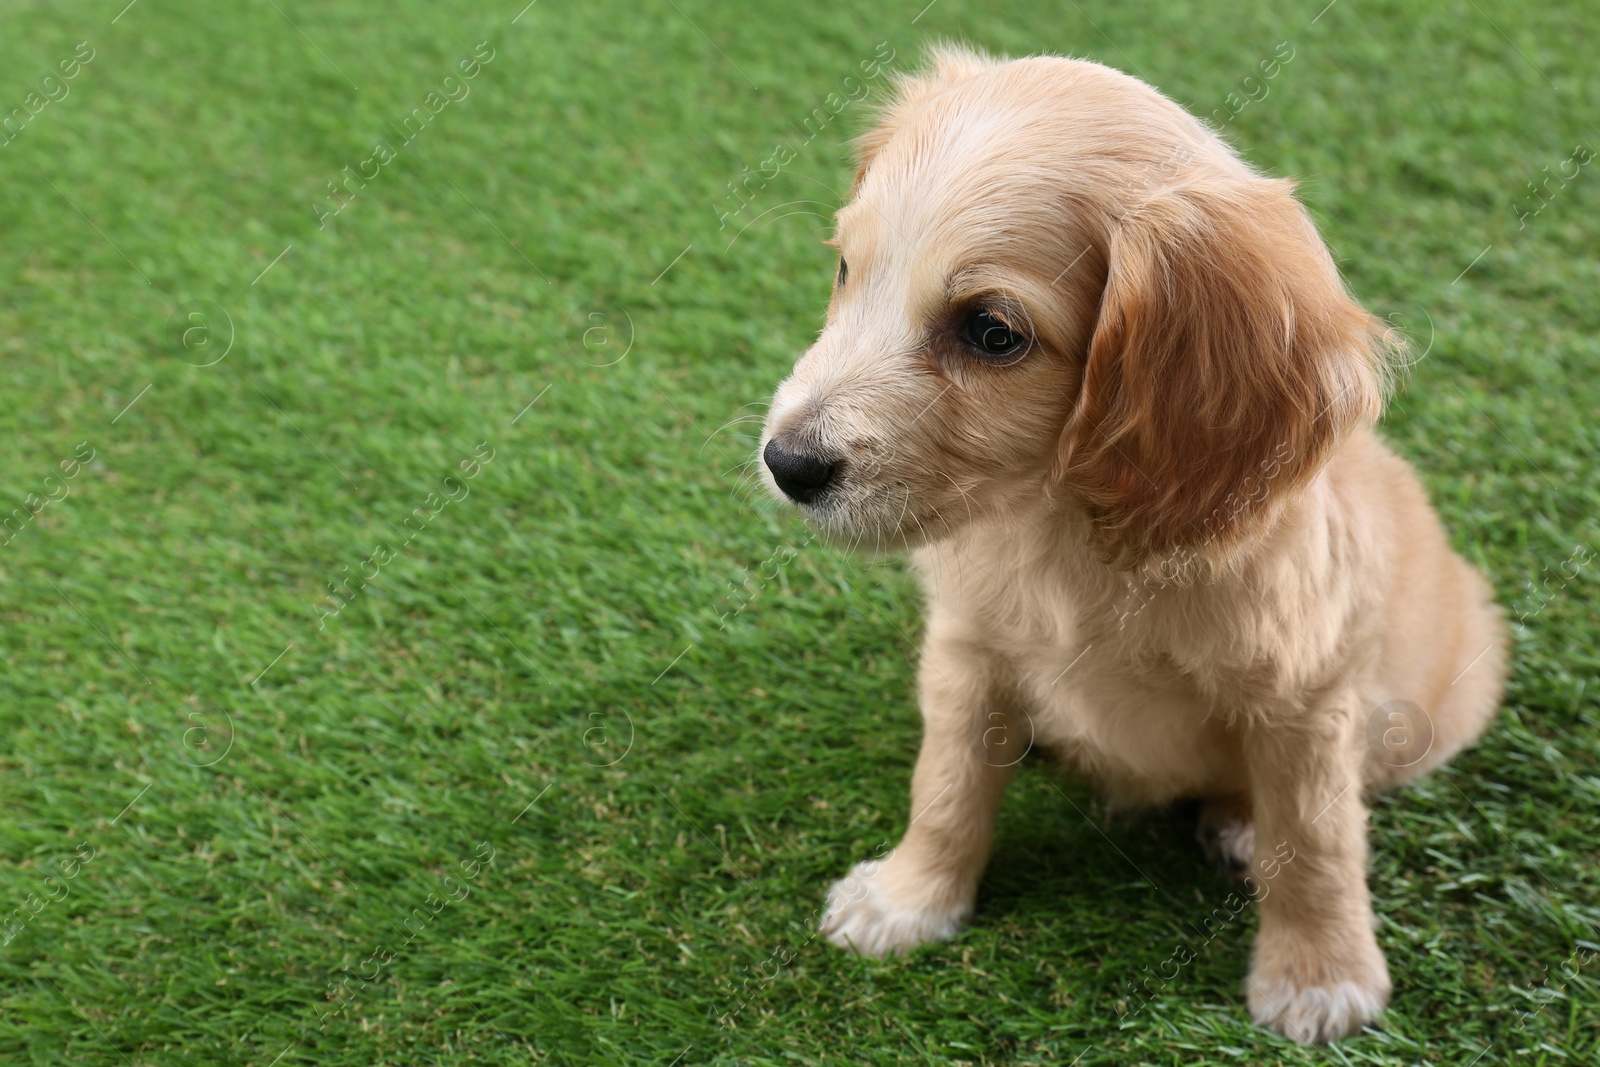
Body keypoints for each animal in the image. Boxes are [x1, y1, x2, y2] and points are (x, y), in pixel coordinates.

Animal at [755, 47, 1504, 1043]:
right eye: (846, 268)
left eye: (992, 332)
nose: (786, 462)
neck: (1062, 527)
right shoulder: (967, 648)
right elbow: (946, 782)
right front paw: (911, 896)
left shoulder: (1303, 693)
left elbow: (1316, 838)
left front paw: (1320, 974)